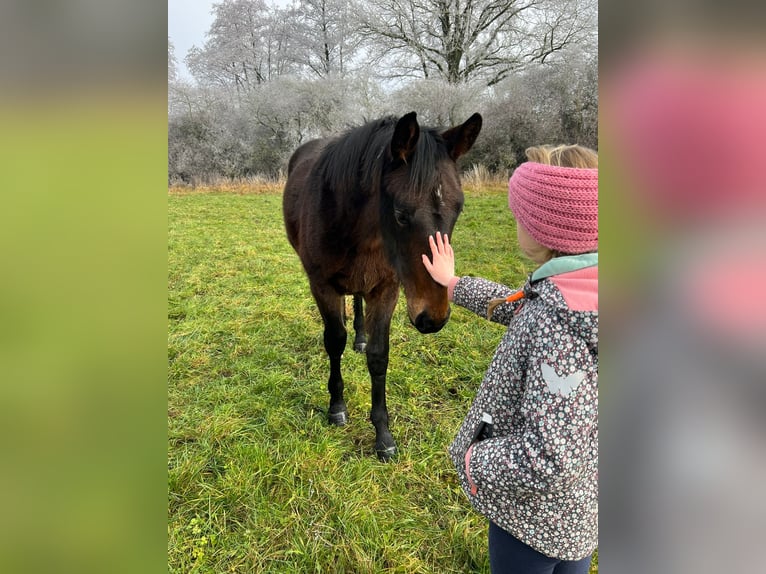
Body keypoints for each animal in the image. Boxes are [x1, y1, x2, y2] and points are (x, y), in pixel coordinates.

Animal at [284, 111, 484, 464]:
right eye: (401, 214)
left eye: (458, 208)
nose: (433, 317)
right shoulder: (321, 286)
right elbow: (334, 341)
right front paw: (336, 408)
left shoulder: (386, 289)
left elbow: (379, 357)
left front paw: (383, 436)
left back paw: (360, 337)